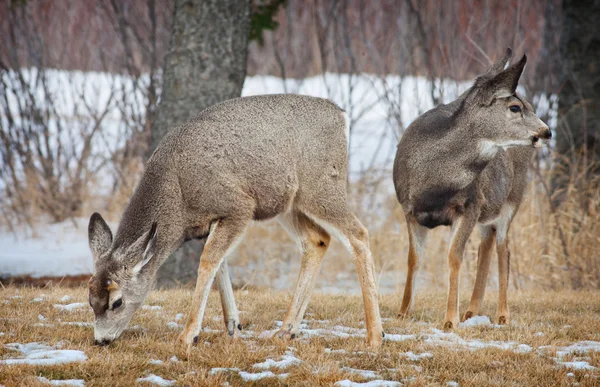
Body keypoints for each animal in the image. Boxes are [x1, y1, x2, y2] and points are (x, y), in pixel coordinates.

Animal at [86, 93, 382, 352]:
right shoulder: (210, 223)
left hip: (320, 186)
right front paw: (233, 326)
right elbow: (220, 263)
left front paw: (188, 336)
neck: (177, 196)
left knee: (358, 234)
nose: (100, 340)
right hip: (289, 202)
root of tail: (341, 115)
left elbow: (208, 261)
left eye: (117, 302)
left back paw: (375, 336)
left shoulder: (238, 205)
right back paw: (286, 331)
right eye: (90, 299)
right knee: (317, 240)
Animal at [394, 47, 552, 328]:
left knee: (503, 247)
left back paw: (502, 314)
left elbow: (454, 257)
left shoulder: (469, 206)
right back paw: (472, 309)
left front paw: (450, 320)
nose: (546, 132)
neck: (432, 185)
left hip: (513, 197)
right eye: (514, 107)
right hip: (488, 208)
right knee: (486, 242)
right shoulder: (409, 210)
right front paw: (403, 313)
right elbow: (413, 260)